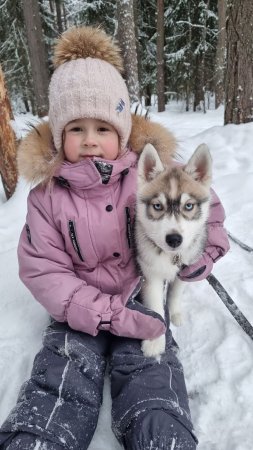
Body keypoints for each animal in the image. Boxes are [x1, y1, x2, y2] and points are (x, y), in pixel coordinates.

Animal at [135, 142, 212, 356]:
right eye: (157, 206)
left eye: (189, 206)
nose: (174, 239)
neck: (170, 257)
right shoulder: (150, 274)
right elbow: (155, 308)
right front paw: (155, 341)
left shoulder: (186, 269)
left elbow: (175, 293)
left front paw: (175, 313)